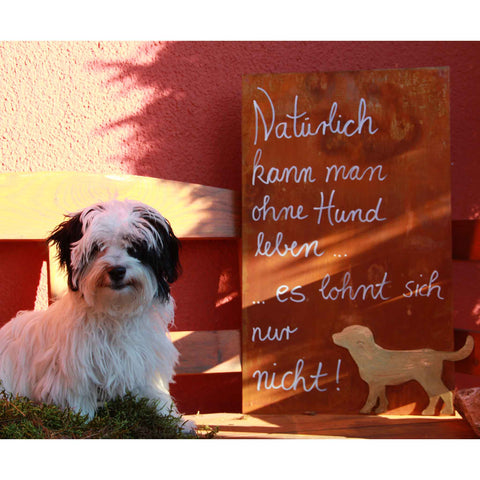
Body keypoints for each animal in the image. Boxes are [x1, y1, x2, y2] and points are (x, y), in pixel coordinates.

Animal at [0, 199, 191, 428]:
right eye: (97, 248)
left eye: (135, 248)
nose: (117, 270)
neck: (114, 312)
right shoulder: (74, 367)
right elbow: (78, 394)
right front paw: (81, 418)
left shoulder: (144, 360)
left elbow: (154, 392)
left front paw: (174, 421)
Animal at [332, 324, 474, 414]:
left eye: (345, 334)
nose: (333, 335)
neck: (367, 355)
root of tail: (436, 353)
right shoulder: (381, 384)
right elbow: (382, 398)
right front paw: (381, 410)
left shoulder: (374, 384)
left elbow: (371, 399)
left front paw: (365, 410)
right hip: (428, 381)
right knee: (435, 396)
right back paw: (430, 412)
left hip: (429, 380)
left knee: (445, 393)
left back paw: (445, 412)